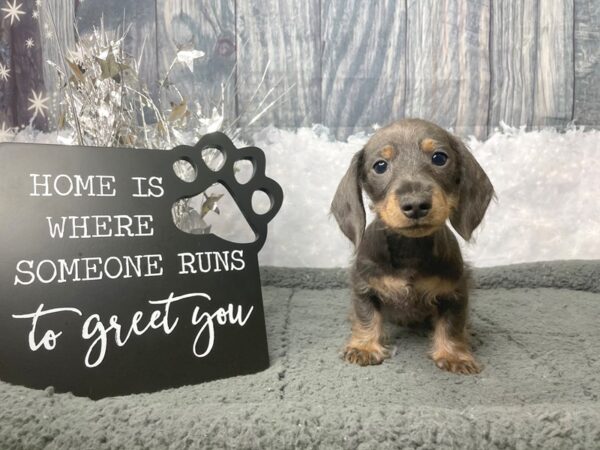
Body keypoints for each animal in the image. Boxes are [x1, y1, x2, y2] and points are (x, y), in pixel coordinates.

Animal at [330, 118, 494, 374]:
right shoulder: (364, 285)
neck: (409, 248)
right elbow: (366, 315)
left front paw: (454, 354)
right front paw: (364, 346)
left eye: (439, 158)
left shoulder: (456, 291)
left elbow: (452, 324)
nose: (416, 204)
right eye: (380, 166)